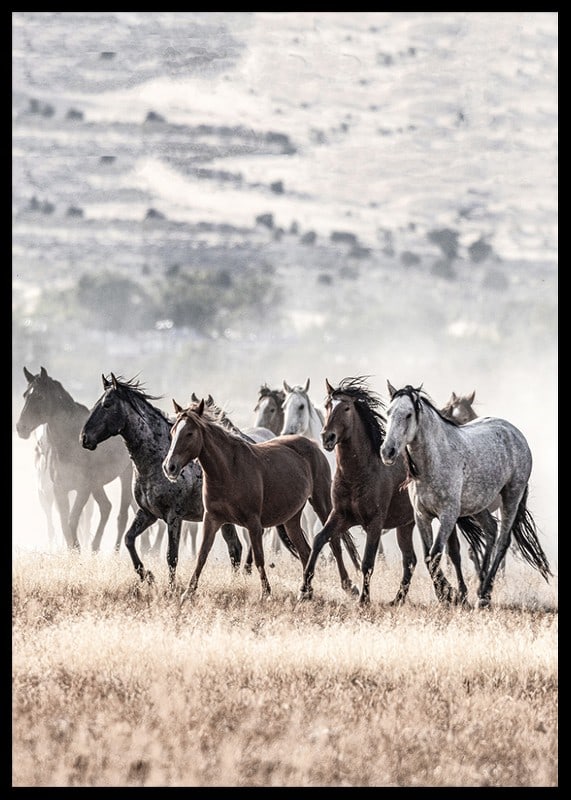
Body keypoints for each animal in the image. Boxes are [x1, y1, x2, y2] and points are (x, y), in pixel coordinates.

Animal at [16, 366, 134, 552]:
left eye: (40, 396)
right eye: (25, 395)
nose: (21, 427)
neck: (69, 443)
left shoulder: (83, 489)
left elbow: (72, 521)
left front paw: (77, 550)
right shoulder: (60, 490)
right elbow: (65, 524)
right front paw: (74, 551)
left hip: (125, 474)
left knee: (121, 515)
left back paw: (113, 552)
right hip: (97, 484)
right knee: (106, 507)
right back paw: (94, 547)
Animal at [80, 374, 244, 590]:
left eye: (107, 404)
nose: (84, 438)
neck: (157, 460)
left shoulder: (174, 516)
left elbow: (171, 556)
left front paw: (171, 589)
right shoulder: (148, 513)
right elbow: (129, 539)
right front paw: (147, 576)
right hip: (223, 519)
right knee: (235, 548)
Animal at [162, 398, 361, 602]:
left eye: (189, 433)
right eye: (173, 431)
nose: (169, 467)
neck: (229, 471)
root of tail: (313, 445)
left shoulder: (253, 523)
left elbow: (258, 557)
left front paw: (266, 593)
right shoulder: (212, 519)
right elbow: (202, 554)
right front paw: (188, 592)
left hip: (321, 503)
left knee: (334, 542)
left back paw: (348, 586)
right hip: (292, 519)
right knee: (305, 551)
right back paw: (307, 591)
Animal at [298, 377, 480, 605]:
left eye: (346, 408)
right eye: (327, 406)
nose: (327, 437)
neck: (360, 473)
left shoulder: (375, 522)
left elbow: (368, 561)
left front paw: (363, 601)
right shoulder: (340, 516)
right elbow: (319, 540)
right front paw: (304, 590)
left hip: (444, 519)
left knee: (453, 553)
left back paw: (459, 594)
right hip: (406, 525)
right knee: (411, 560)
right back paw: (401, 599)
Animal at [380, 382, 552, 608]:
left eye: (409, 414)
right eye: (389, 412)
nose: (387, 451)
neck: (435, 460)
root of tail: (515, 433)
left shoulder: (448, 515)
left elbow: (436, 554)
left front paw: (449, 596)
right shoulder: (422, 516)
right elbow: (429, 556)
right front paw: (448, 595)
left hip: (511, 497)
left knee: (502, 541)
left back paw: (485, 594)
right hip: (480, 505)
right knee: (491, 529)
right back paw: (480, 587)